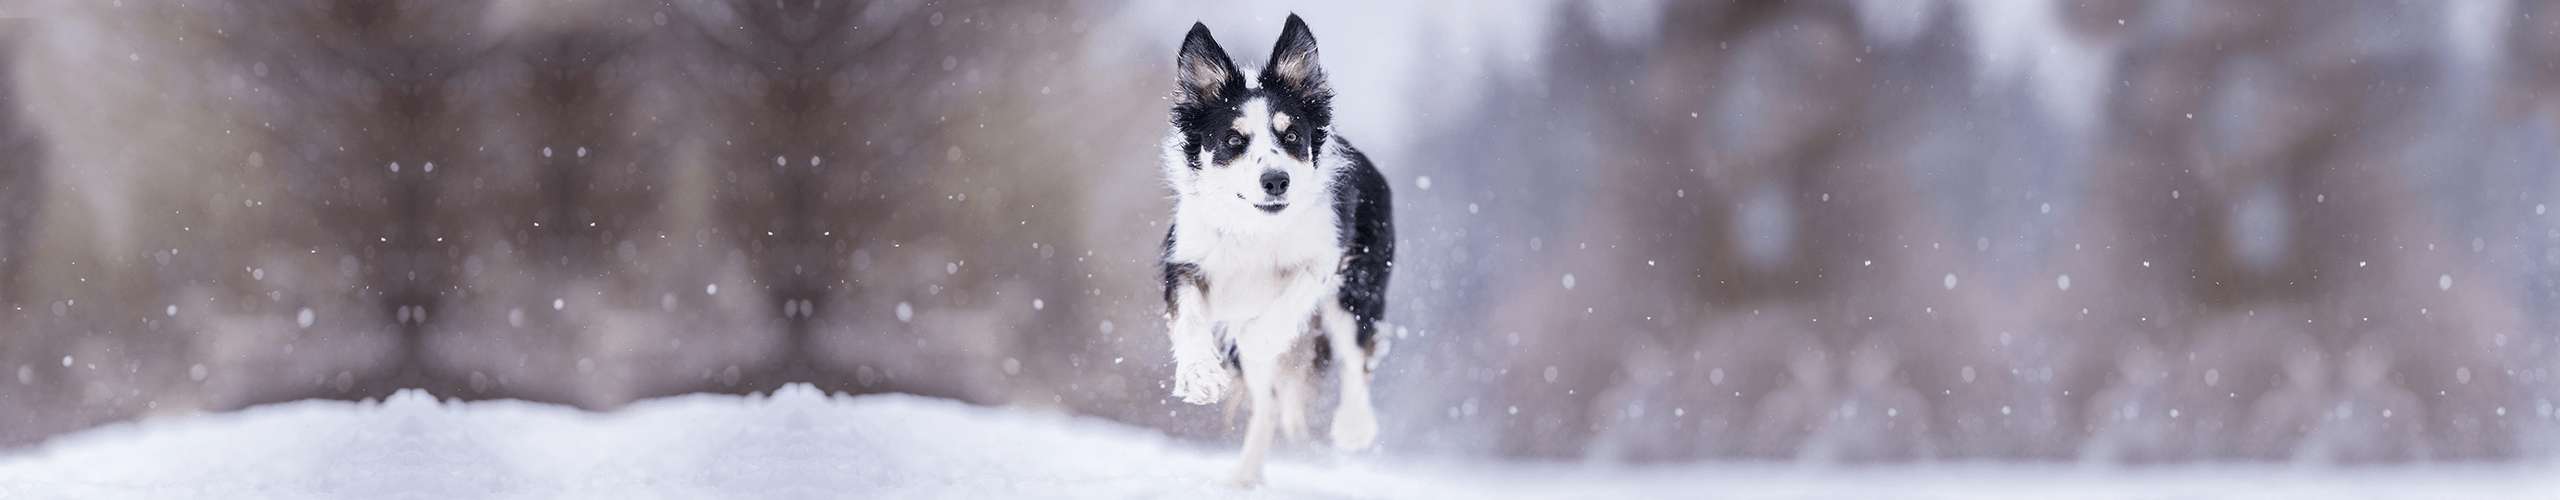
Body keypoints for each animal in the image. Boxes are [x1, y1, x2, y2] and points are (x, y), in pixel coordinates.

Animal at [1167, 14, 1402, 484]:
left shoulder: (1327, 254)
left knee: (1353, 356)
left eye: (1291, 135)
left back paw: (1354, 426)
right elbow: (1188, 318)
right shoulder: (1185, 261)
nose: (1276, 180)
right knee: (1270, 404)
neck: (1255, 228)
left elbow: (1289, 301)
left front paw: (1257, 337)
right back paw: (1244, 478)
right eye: (1233, 140)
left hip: (1359, 287)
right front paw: (1199, 375)